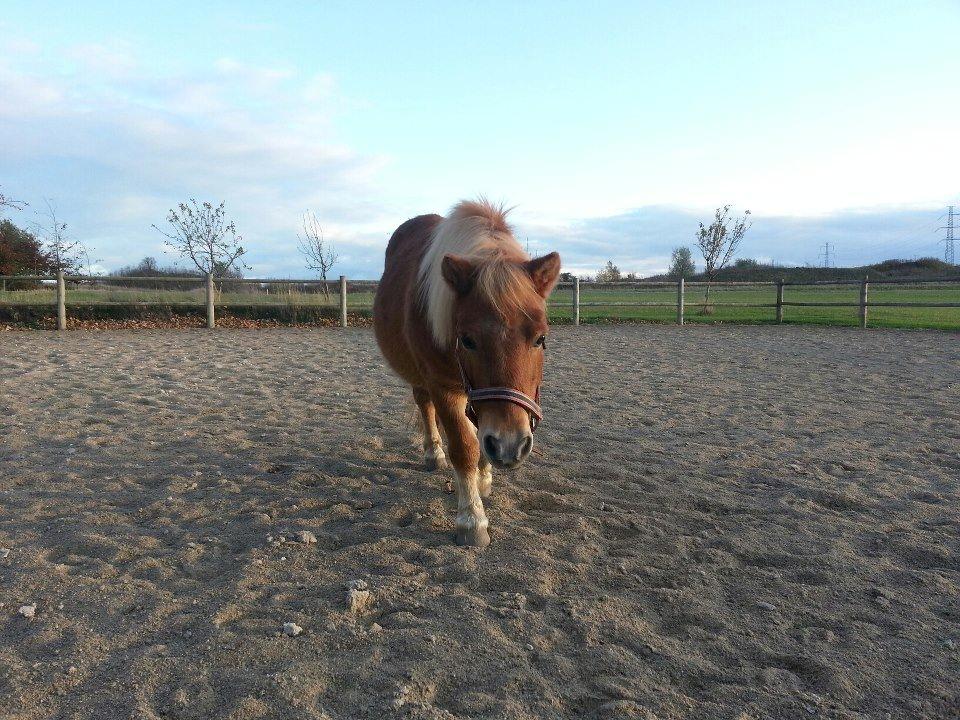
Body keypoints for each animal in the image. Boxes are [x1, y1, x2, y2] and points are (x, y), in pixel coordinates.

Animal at [373, 199, 561, 547]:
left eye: (540, 338)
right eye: (468, 340)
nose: (510, 446)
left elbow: (479, 436)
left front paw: (484, 478)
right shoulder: (443, 388)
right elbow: (464, 447)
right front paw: (472, 520)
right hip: (421, 378)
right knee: (425, 406)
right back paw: (434, 453)